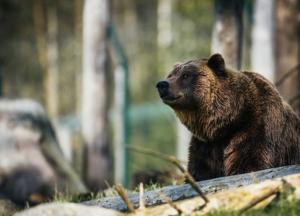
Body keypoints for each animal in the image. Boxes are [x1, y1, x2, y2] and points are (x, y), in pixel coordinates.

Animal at [156, 54, 300, 181]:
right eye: (170, 75)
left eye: (186, 75)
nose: (162, 84)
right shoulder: (206, 145)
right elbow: (199, 170)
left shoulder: (257, 129)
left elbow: (249, 164)